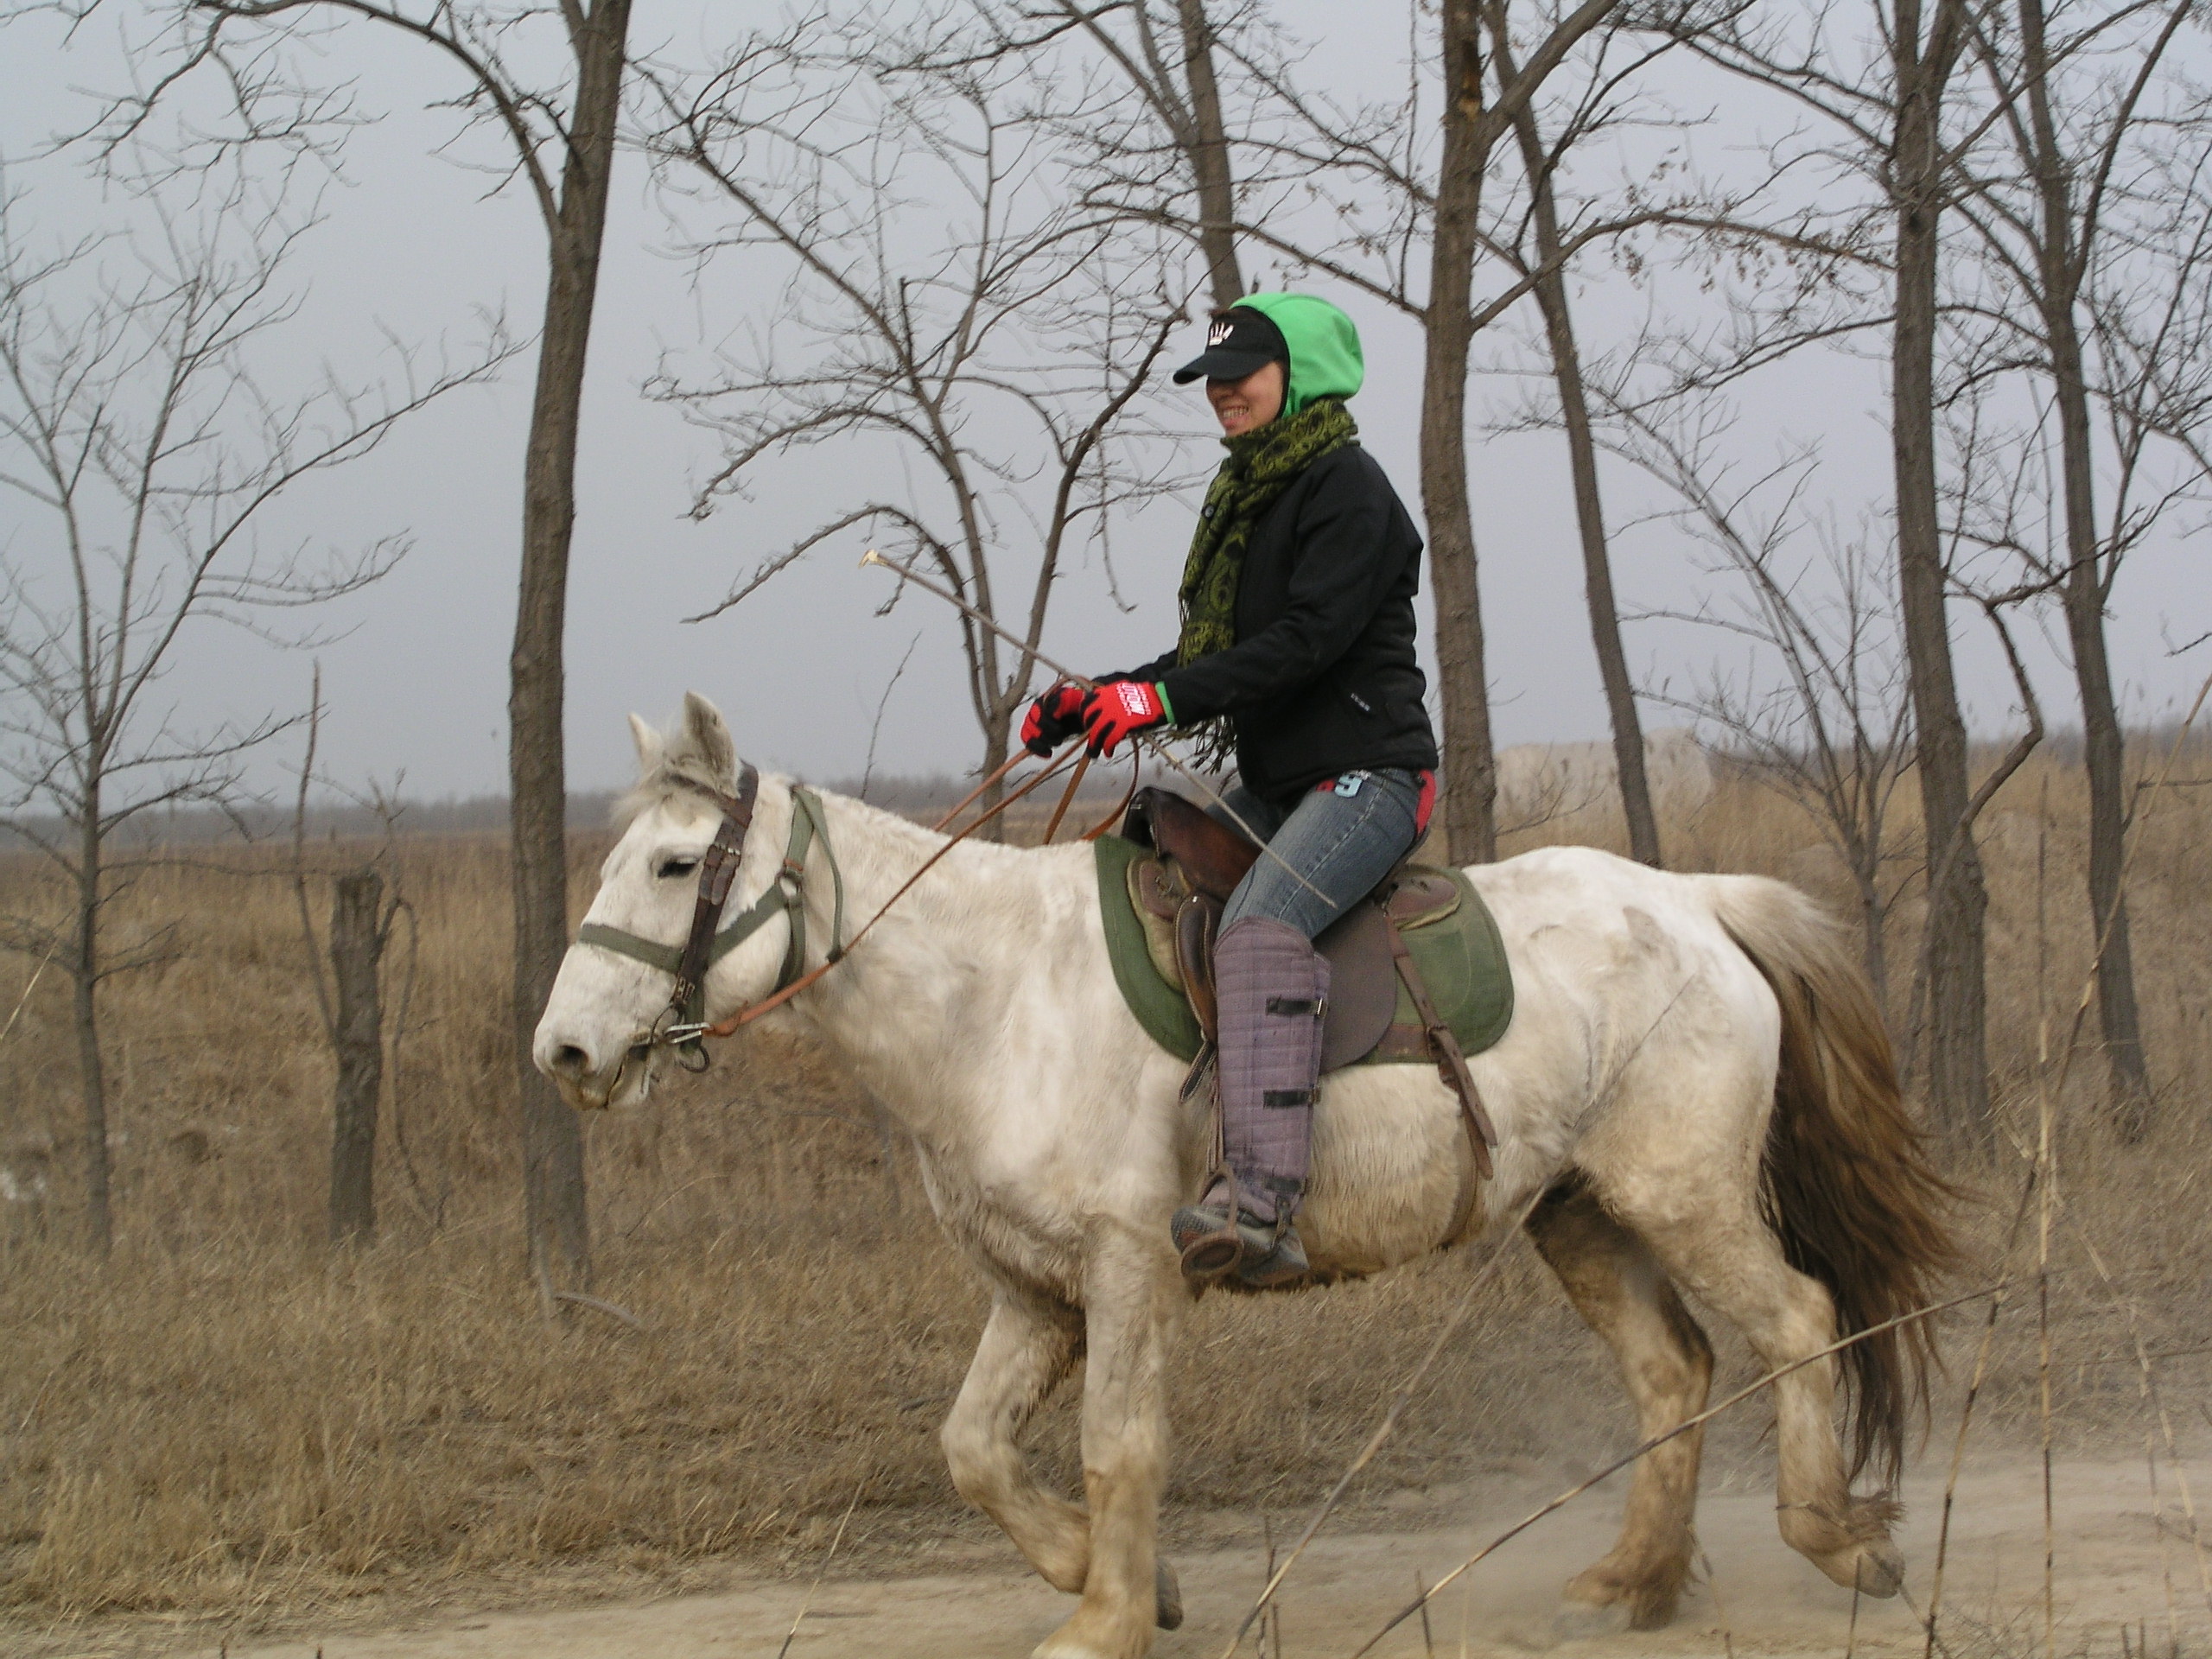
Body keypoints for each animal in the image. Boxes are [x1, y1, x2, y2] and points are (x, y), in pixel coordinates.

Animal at [531, 698, 1955, 1659]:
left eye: (673, 864)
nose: (567, 1052)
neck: (995, 994)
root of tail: (1700, 905)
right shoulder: (1033, 1292)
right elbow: (973, 1450)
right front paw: (1120, 1583)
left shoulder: (1129, 1271)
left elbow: (1119, 1447)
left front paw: (1103, 1618)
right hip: (1581, 1212)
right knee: (1673, 1370)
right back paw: (1636, 1580)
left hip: (1685, 1194)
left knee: (1797, 1324)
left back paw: (1836, 1539)